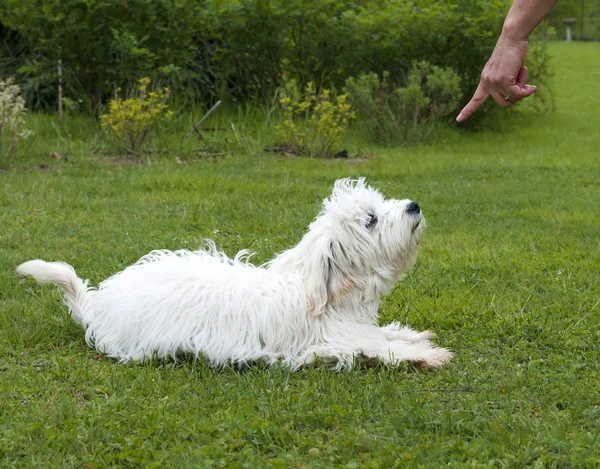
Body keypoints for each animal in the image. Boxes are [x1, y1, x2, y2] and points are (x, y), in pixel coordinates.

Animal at [16, 178, 452, 370]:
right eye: (371, 220)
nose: (413, 205)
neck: (331, 294)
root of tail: (98, 305)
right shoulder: (333, 342)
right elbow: (378, 348)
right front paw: (426, 354)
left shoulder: (355, 327)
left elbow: (383, 334)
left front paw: (412, 335)